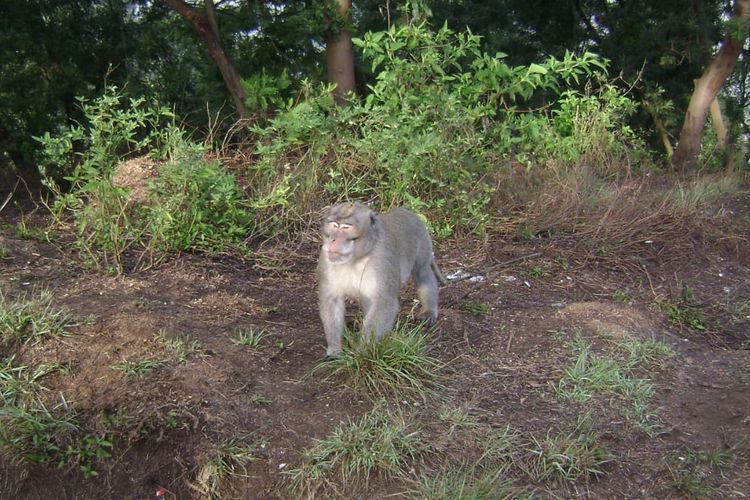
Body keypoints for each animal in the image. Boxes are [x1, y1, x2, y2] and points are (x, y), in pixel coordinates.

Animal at [318, 201, 446, 358]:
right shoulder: (326, 259)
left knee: (422, 272)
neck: (356, 257)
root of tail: (406, 211)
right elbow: (332, 300)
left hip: (423, 241)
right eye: (334, 225)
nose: (332, 239)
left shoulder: (383, 259)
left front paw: (362, 351)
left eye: (345, 227)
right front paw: (335, 349)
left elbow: (384, 301)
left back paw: (429, 310)